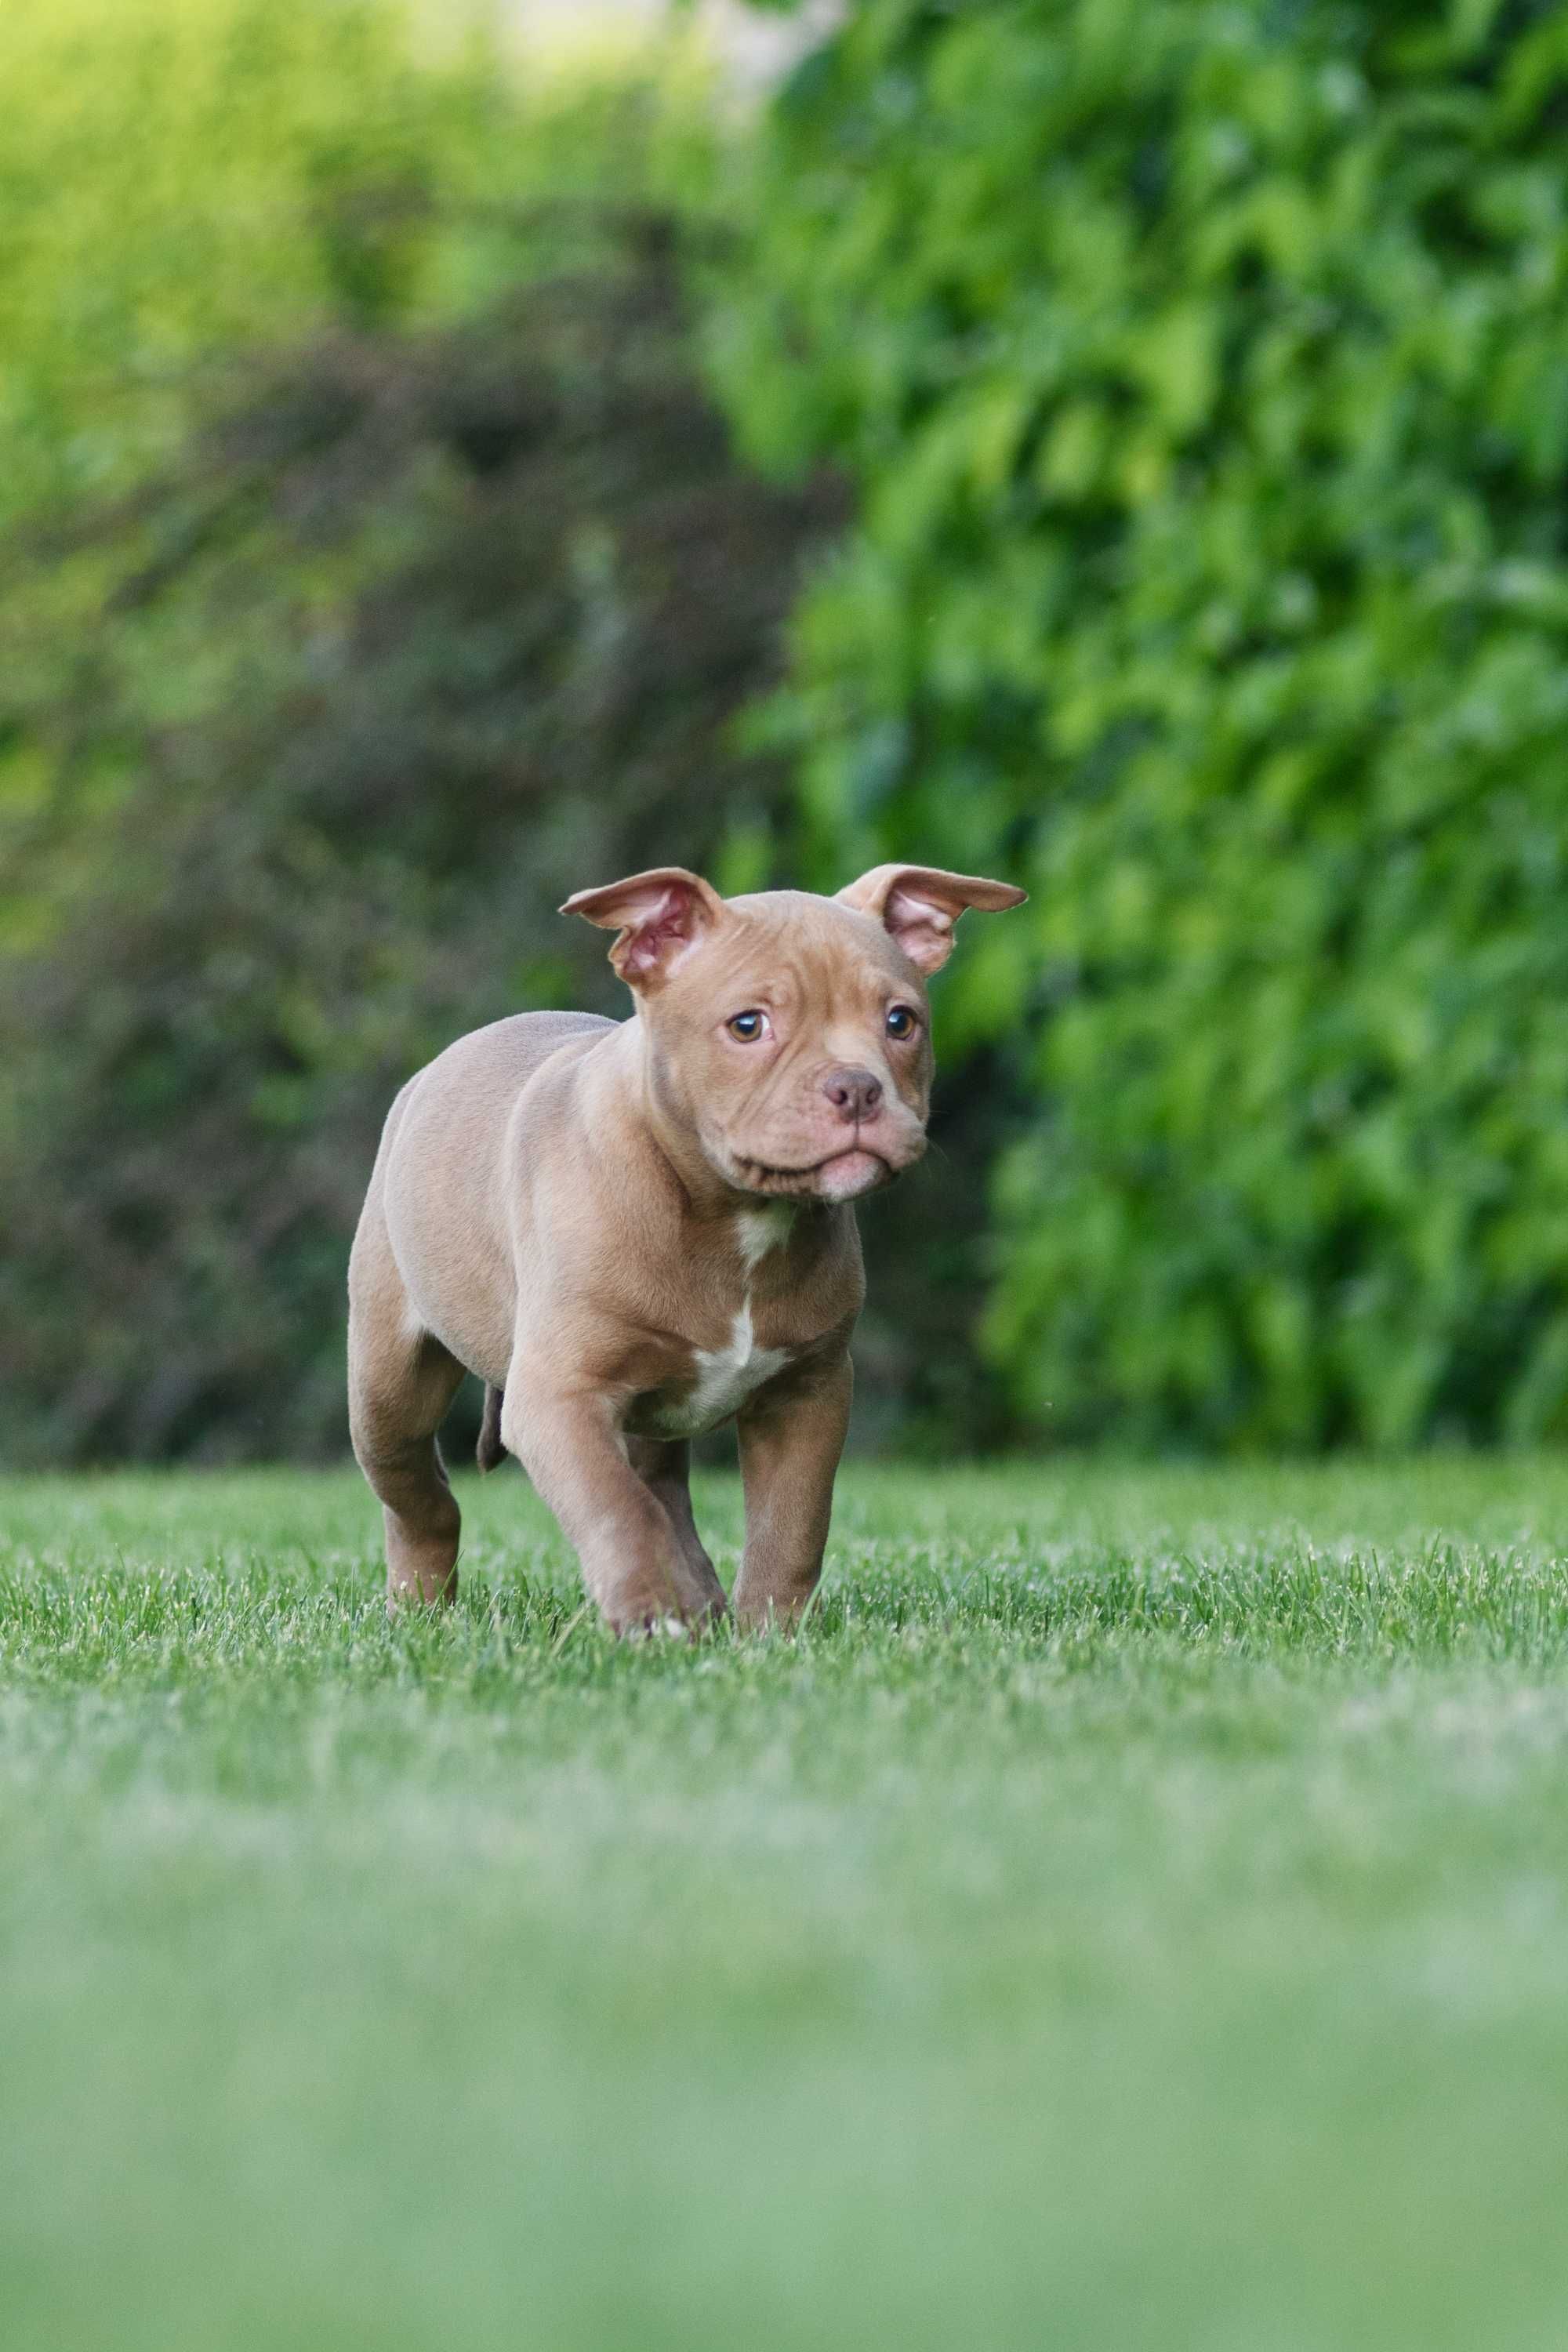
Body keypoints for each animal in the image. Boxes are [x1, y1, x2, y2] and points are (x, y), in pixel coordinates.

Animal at [347, 870, 1025, 1637]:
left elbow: (792, 1525)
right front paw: (648, 1616)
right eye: (748, 1025)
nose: (857, 1087)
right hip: (388, 1382)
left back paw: (699, 1602)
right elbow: (614, 1506)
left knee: (660, 1484)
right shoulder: (560, 1395)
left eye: (901, 1022)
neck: (733, 1215)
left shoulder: (810, 1393)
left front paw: (772, 1633)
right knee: (418, 1493)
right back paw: (421, 1606)